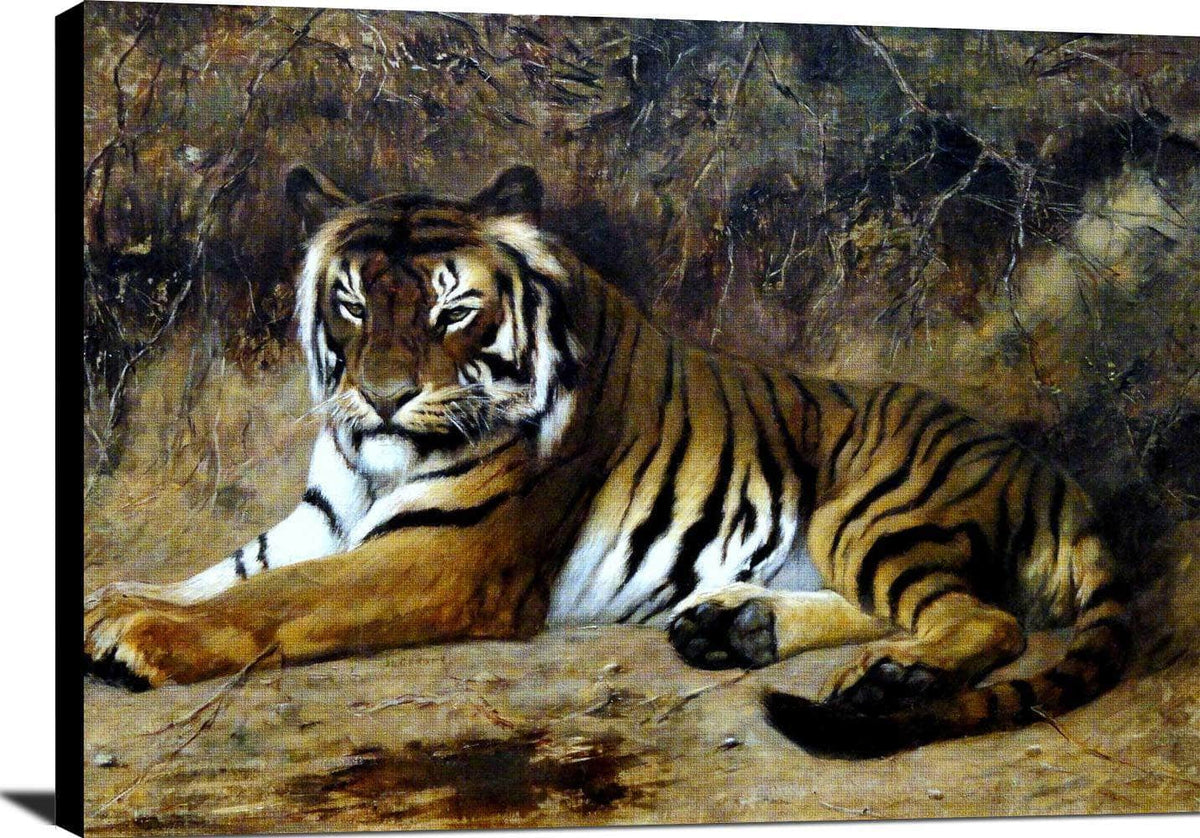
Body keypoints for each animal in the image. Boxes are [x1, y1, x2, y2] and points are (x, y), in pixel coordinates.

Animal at [84, 164, 1132, 758]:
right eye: (351, 303)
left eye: (451, 309)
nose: (380, 399)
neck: (376, 463)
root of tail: (1056, 475)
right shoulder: (323, 521)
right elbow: (222, 572)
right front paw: (114, 603)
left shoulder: (446, 558)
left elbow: (274, 599)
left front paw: (141, 638)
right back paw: (739, 628)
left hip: (867, 510)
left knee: (985, 617)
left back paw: (892, 679)